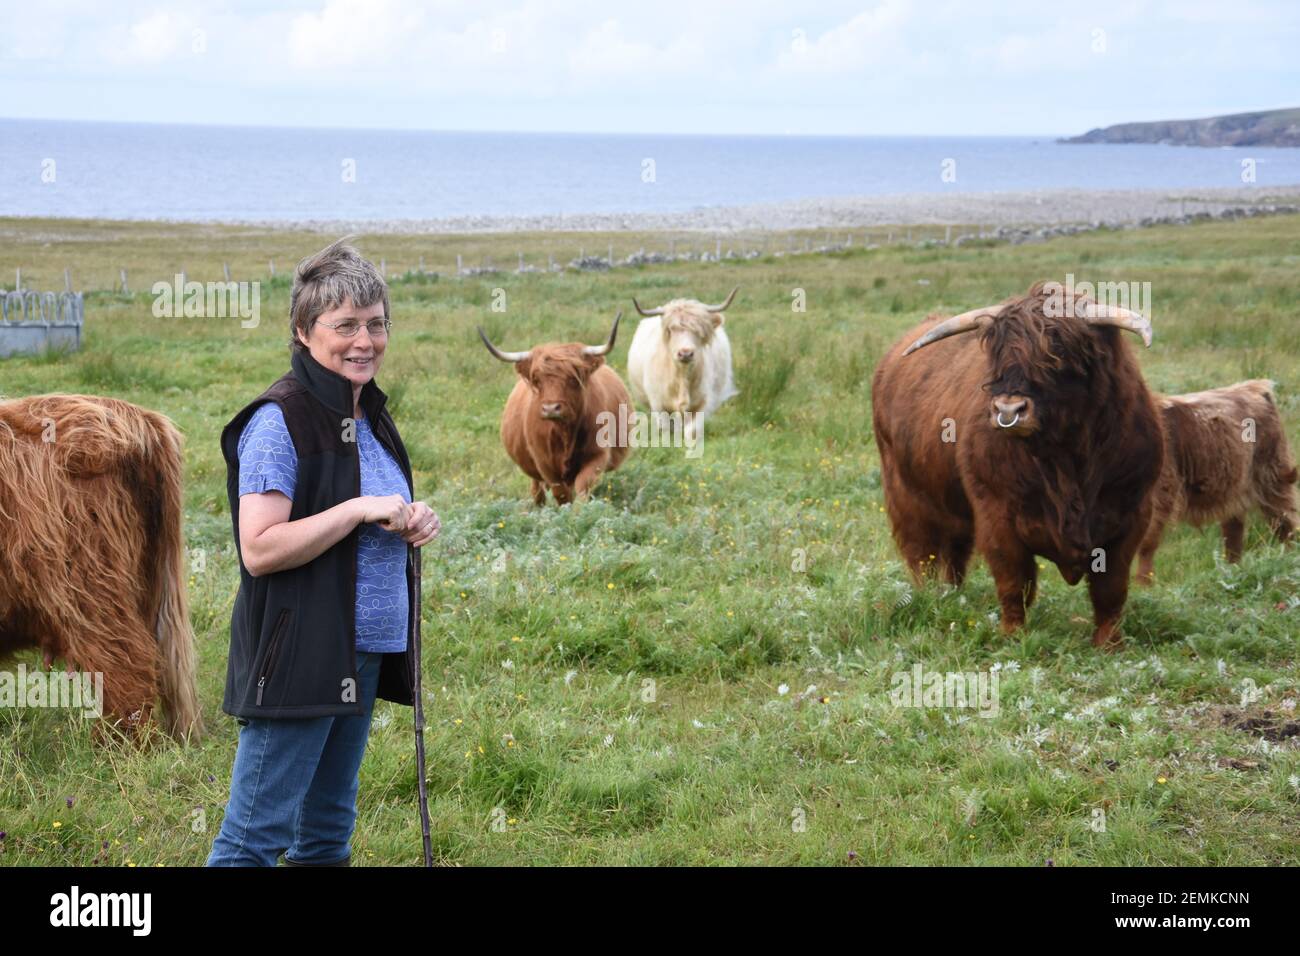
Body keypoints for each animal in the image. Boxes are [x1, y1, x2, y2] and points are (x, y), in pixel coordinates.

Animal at [873, 280, 1159, 647]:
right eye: (998, 354)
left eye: (1059, 353)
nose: (1008, 410)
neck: (1066, 462)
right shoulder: (996, 514)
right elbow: (1013, 580)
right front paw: (1012, 636)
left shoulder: (1131, 516)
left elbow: (1111, 588)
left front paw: (1109, 643)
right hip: (906, 496)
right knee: (922, 553)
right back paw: (931, 597)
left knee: (954, 553)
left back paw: (951, 595)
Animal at [1133, 377, 1294, 580]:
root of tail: (1256, 386)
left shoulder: (1161, 495)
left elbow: (1146, 544)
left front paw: (1144, 584)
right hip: (1235, 488)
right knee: (1234, 533)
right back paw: (1232, 569)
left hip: (1272, 477)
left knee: (1285, 521)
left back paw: (1289, 556)